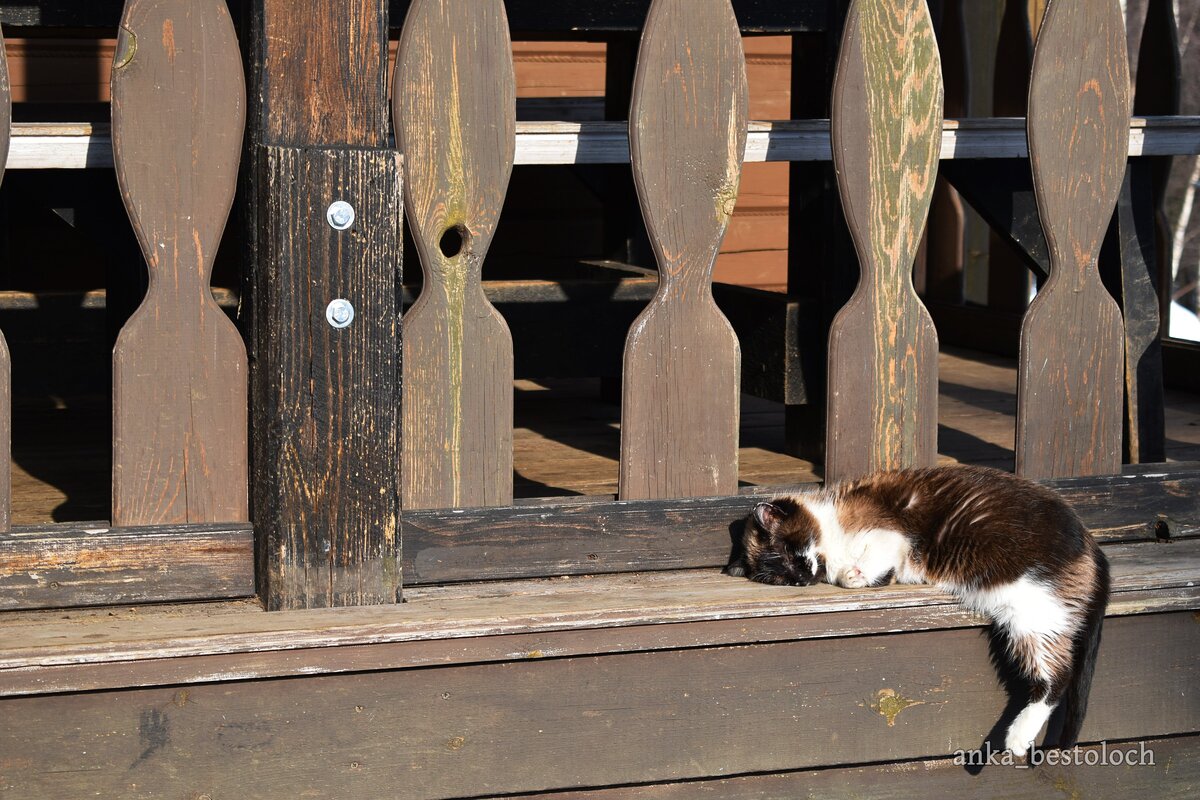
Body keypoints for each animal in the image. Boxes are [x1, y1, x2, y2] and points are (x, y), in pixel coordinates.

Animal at [720, 462, 1104, 758]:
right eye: (782, 578)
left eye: (789, 552)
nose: (801, 578)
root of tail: (1091, 539)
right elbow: (869, 575)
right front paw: (862, 577)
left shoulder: (887, 535)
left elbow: (860, 568)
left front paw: (855, 575)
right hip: (1023, 615)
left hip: (1032, 610)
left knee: (1060, 676)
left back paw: (1016, 740)